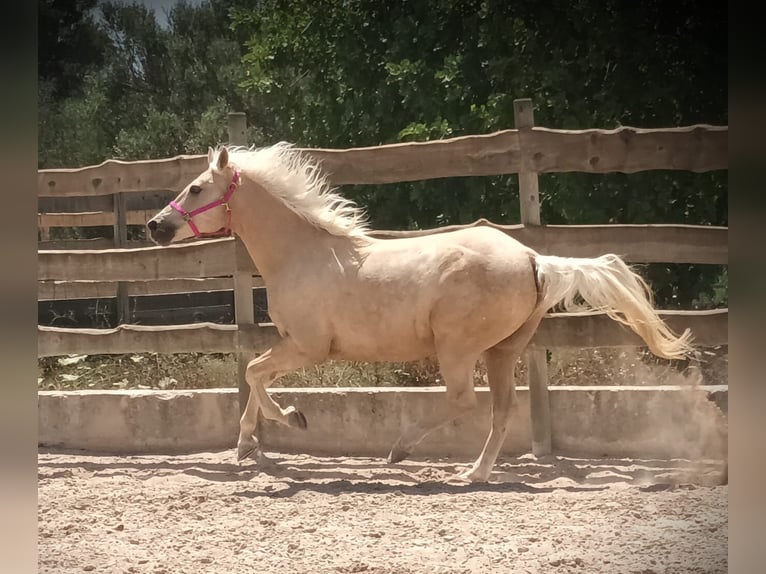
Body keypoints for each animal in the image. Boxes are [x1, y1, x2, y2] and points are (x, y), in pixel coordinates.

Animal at [147, 142, 694, 482]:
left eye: (196, 188)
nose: (155, 226)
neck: (301, 253)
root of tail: (533, 259)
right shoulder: (296, 347)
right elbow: (254, 376)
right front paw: (246, 446)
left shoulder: (307, 347)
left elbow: (255, 375)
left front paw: (291, 421)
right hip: (502, 350)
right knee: (501, 410)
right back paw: (476, 472)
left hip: (458, 348)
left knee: (463, 400)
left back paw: (402, 449)